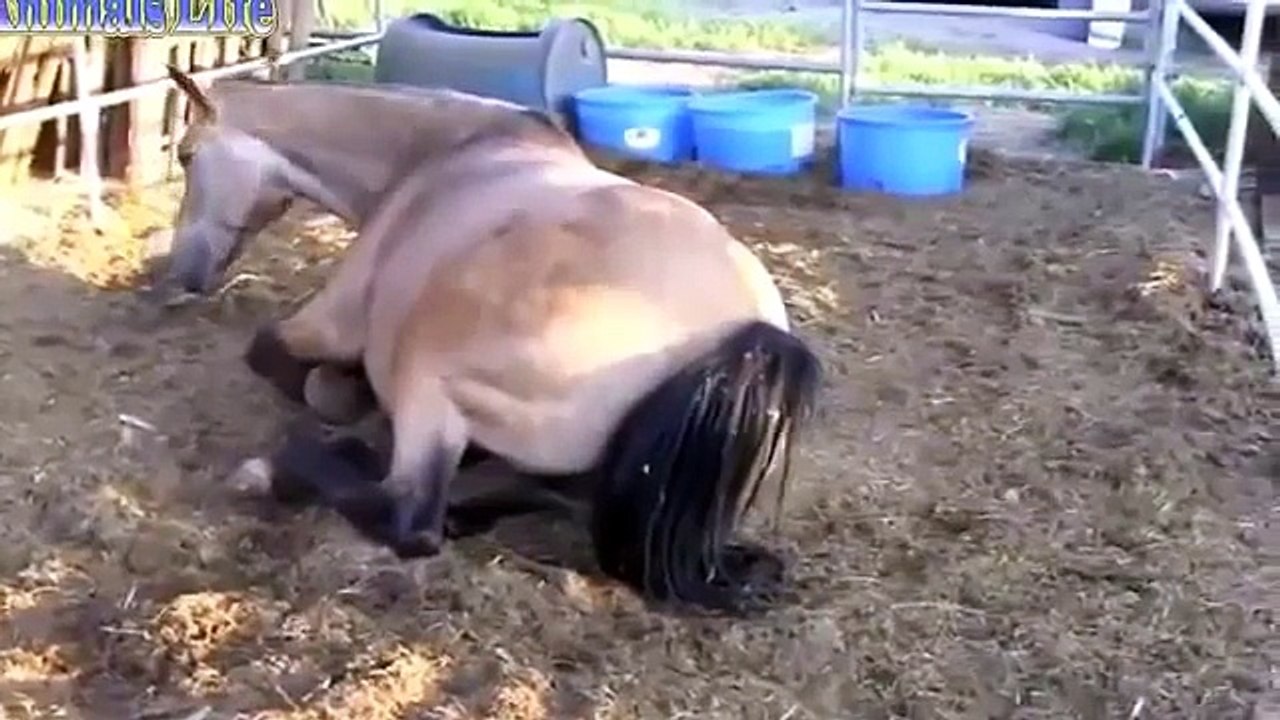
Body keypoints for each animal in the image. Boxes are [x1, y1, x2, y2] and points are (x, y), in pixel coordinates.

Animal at [159, 65, 822, 612]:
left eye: (187, 155)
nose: (179, 274)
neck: (440, 158)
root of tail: (746, 334)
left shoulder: (327, 323)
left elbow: (280, 362)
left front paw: (342, 397)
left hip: (428, 379)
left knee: (410, 514)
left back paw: (283, 468)